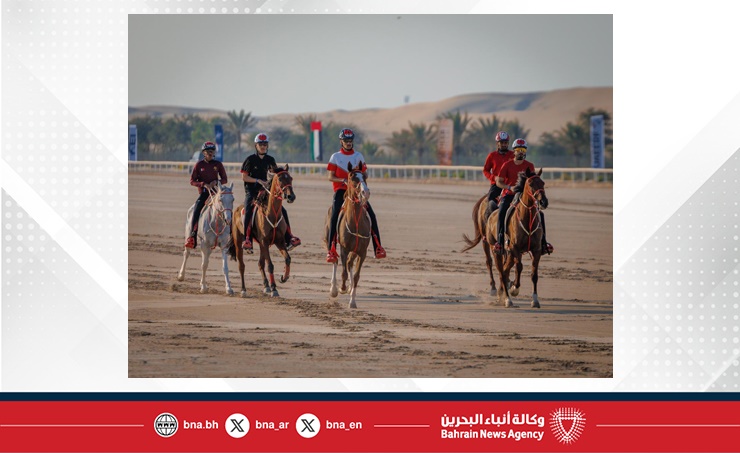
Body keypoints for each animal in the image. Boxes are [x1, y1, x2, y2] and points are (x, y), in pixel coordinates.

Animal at [229, 165, 295, 297]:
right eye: (280, 179)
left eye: (290, 178)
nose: (291, 196)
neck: (272, 214)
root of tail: (237, 209)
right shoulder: (265, 241)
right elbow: (270, 265)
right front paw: (274, 288)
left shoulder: (279, 241)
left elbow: (287, 259)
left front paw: (284, 277)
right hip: (239, 242)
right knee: (241, 266)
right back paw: (243, 290)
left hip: (261, 244)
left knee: (260, 263)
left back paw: (266, 286)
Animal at [324, 162, 371, 309]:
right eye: (352, 177)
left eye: (364, 176)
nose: (365, 192)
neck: (355, 222)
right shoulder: (344, 248)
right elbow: (344, 272)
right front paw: (341, 288)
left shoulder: (362, 252)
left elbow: (356, 276)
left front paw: (352, 301)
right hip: (329, 241)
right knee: (334, 259)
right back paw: (333, 289)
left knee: (349, 263)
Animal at [486, 167, 549, 308]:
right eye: (530, 183)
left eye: (543, 183)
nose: (543, 202)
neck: (527, 218)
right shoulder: (515, 248)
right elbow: (519, 267)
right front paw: (515, 288)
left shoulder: (536, 250)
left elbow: (534, 274)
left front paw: (535, 300)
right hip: (497, 250)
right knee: (502, 272)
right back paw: (507, 299)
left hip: (509, 254)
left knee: (505, 270)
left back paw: (503, 294)